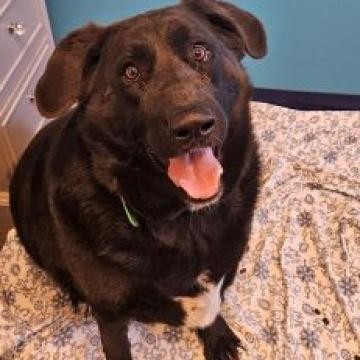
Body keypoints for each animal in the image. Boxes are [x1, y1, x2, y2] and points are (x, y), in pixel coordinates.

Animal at [9, 1, 266, 358]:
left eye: (200, 52)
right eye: (130, 72)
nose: (194, 126)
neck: (184, 221)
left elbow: (211, 309)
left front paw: (216, 335)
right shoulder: (111, 315)